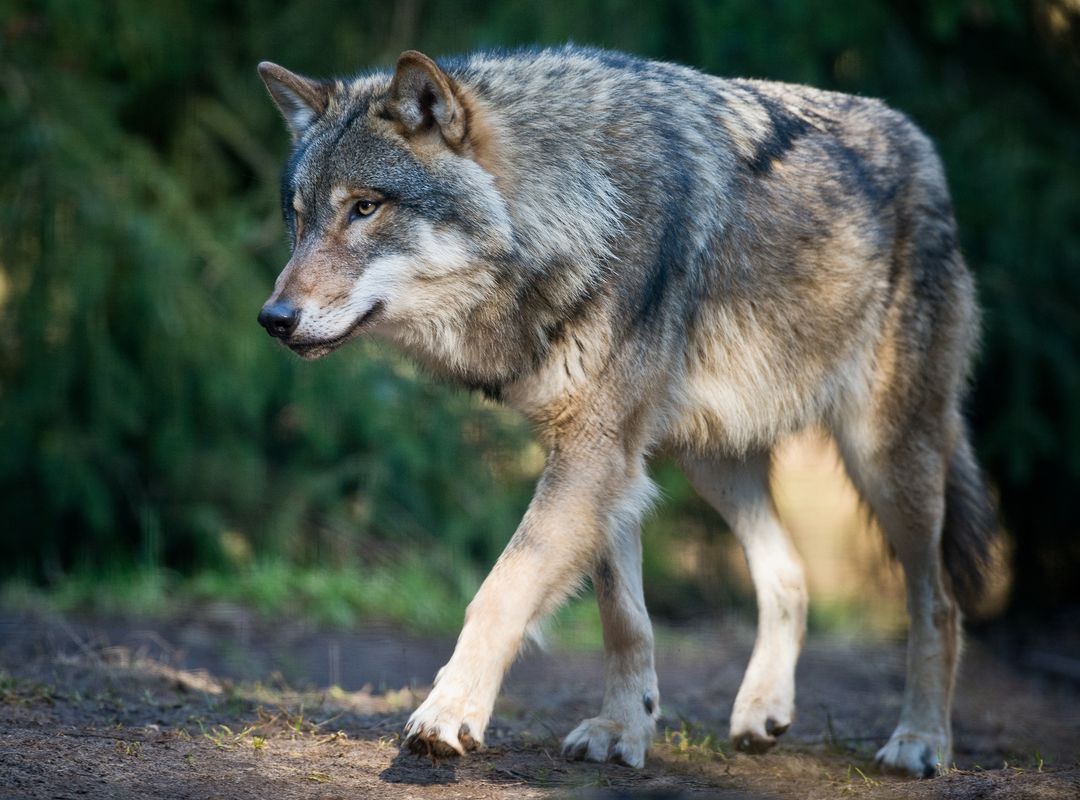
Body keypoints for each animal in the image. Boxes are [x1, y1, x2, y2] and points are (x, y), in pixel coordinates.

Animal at [255, 45, 996, 777]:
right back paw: (762, 712)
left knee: (940, 602)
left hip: (886, 460)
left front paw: (448, 712)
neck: (574, 209)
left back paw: (921, 740)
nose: (273, 319)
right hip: (714, 462)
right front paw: (623, 727)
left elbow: (501, 589)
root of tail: (921, 144)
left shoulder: (595, 451)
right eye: (298, 217)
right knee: (789, 575)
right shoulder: (607, 461)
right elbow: (623, 615)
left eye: (364, 207)